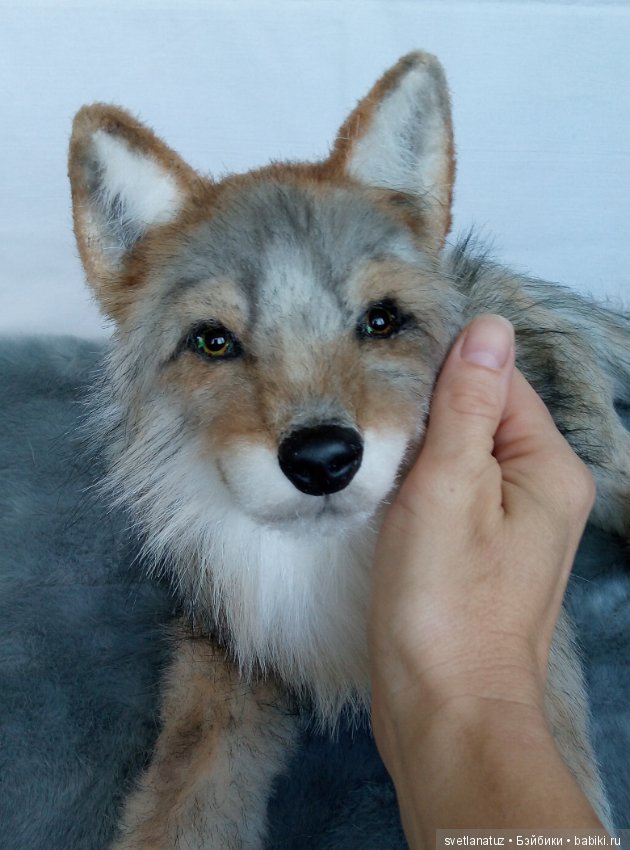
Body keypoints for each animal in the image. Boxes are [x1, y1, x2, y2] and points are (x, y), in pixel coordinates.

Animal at [67, 52, 629, 847]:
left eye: (381, 321)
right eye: (214, 341)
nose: (323, 460)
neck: (322, 576)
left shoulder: (540, 658)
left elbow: (575, 777)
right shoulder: (226, 658)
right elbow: (181, 805)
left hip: (597, 455)